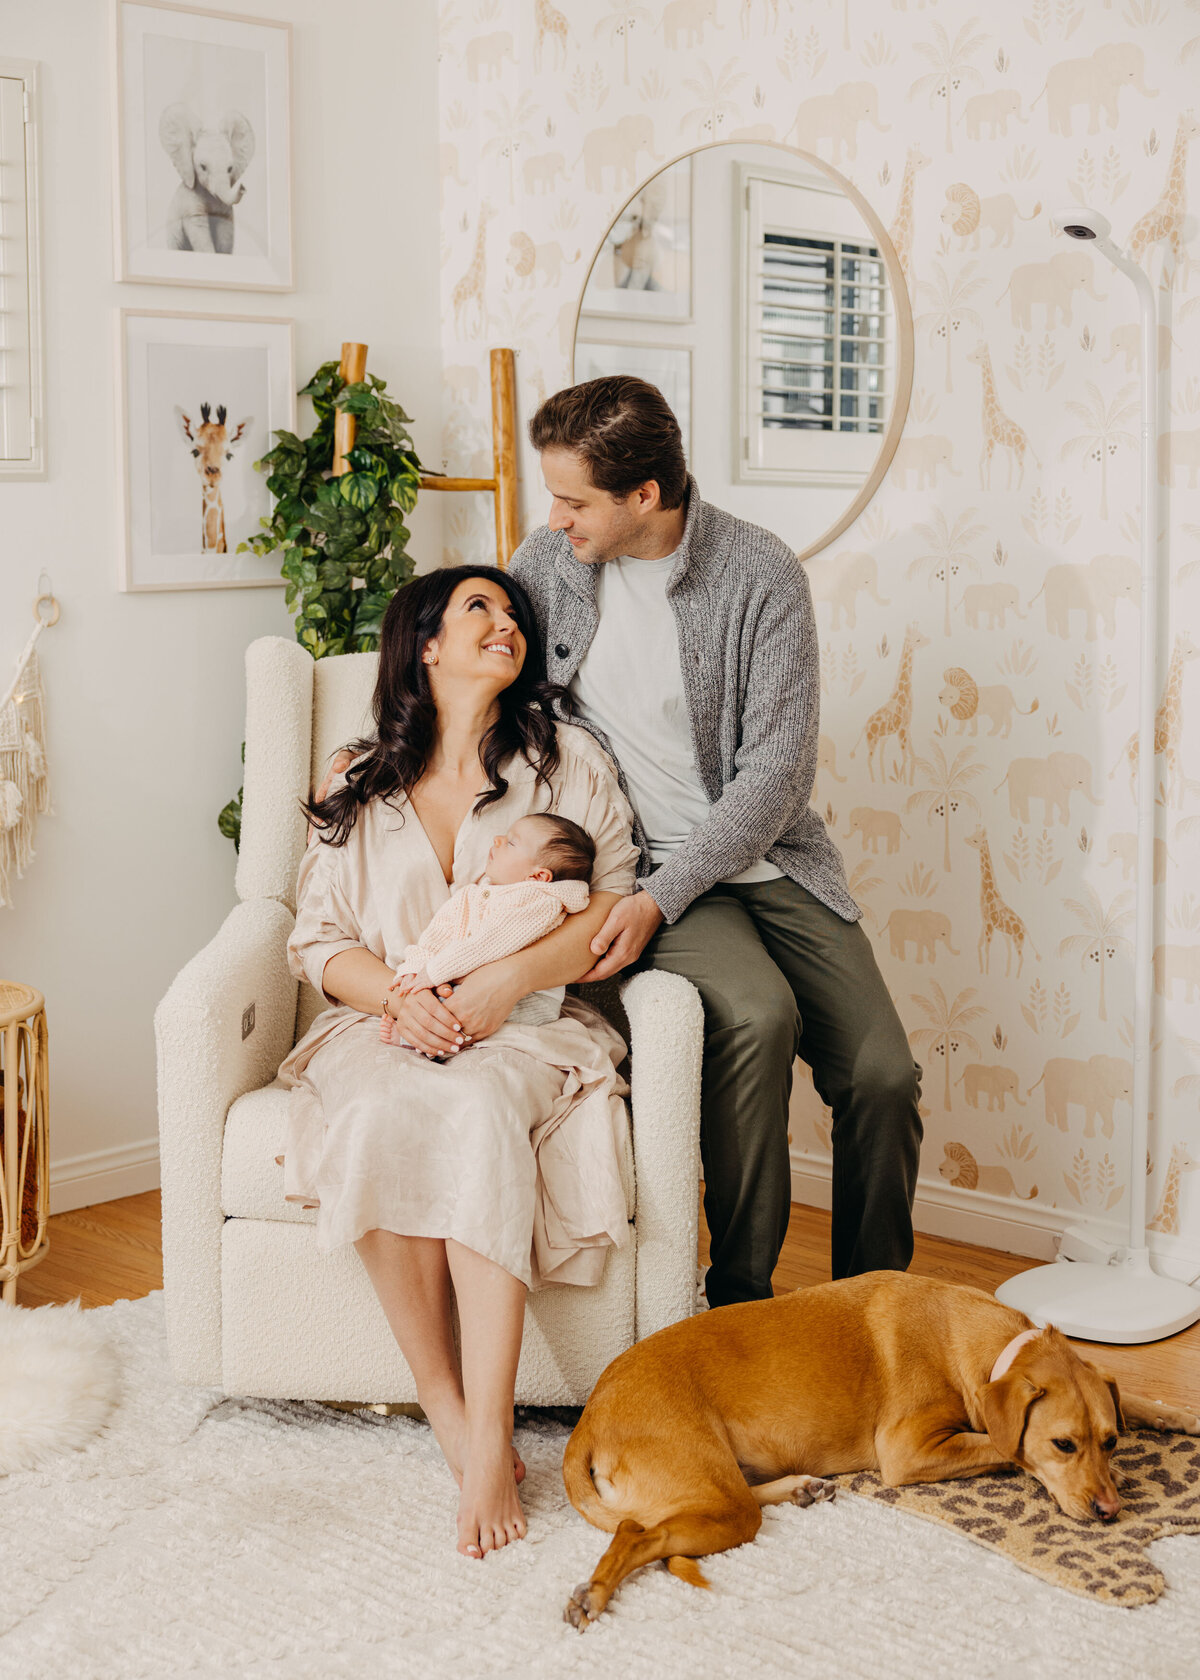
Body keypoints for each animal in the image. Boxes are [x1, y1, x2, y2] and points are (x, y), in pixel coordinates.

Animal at [158, 105, 252, 253]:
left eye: (230, 169)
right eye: (202, 167)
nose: (243, 187)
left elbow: (225, 239)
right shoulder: (190, 205)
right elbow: (201, 236)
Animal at [561, 1270, 1196, 1626]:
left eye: (1110, 1441)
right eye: (1063, 1444)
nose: (1109, 1511)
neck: (988, 1345)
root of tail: (590, 1418)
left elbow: (1133, 1395)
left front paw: (1176, 1415)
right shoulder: (908, 1449)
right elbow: (1005, 1446)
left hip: (724, 1491)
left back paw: (802, 1488)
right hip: (716, 1499)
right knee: (638, 1532)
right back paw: (594, 1594)